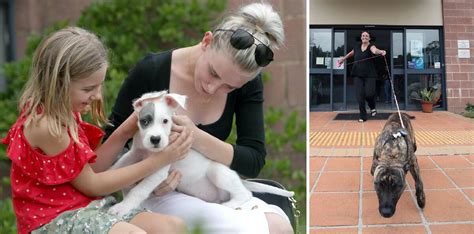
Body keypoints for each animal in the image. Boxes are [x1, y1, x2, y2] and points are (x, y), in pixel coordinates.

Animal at [107, 91, 292, 218]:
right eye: (144, 121)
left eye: (165, 121)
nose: (155, 139)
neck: (149, 152)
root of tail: (240, 180)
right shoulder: (134, 153)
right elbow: (117, 167)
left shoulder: (159, 168)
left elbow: (138, 189)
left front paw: (122, 207)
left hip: (217, 172)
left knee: (245, 194)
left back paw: (229, 205)